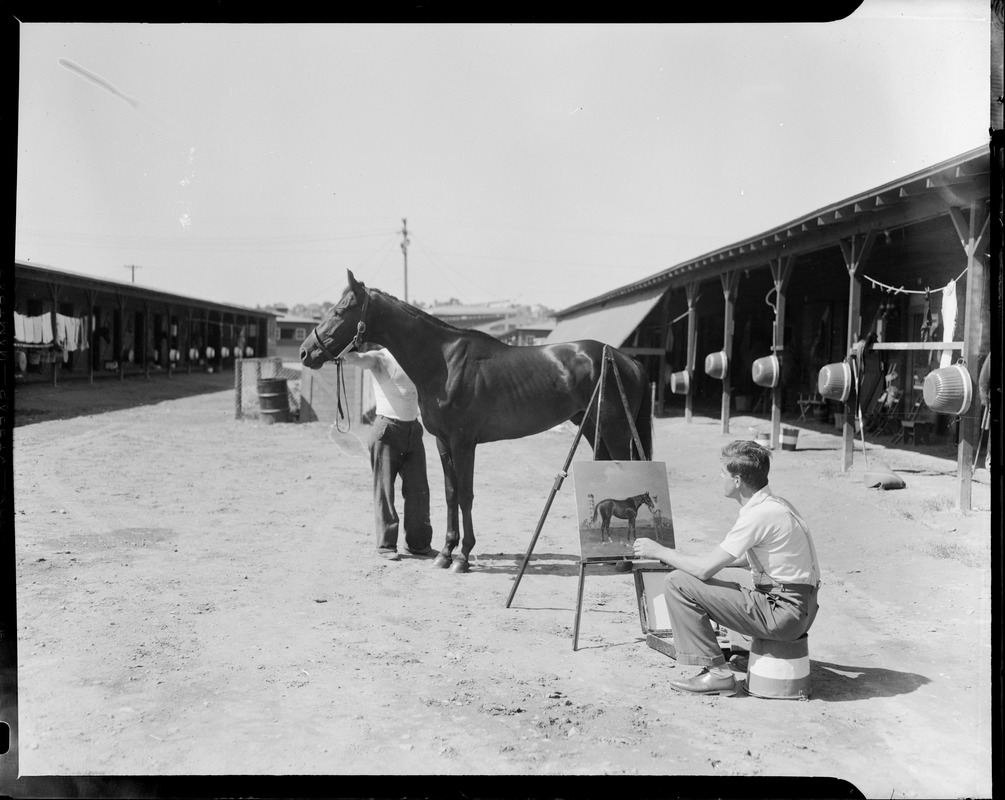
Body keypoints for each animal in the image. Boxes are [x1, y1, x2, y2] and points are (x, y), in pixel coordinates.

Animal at [301, 271, 655, 570]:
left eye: (341, 310)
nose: (306, 352)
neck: (444, 363)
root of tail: (628, 360)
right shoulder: (443, 442)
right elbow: (450, 494)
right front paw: (445, 553)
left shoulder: (464, 442)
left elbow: (466, 495)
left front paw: (463, 557)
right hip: (594, 427)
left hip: (615, 430)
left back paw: (624, 561)